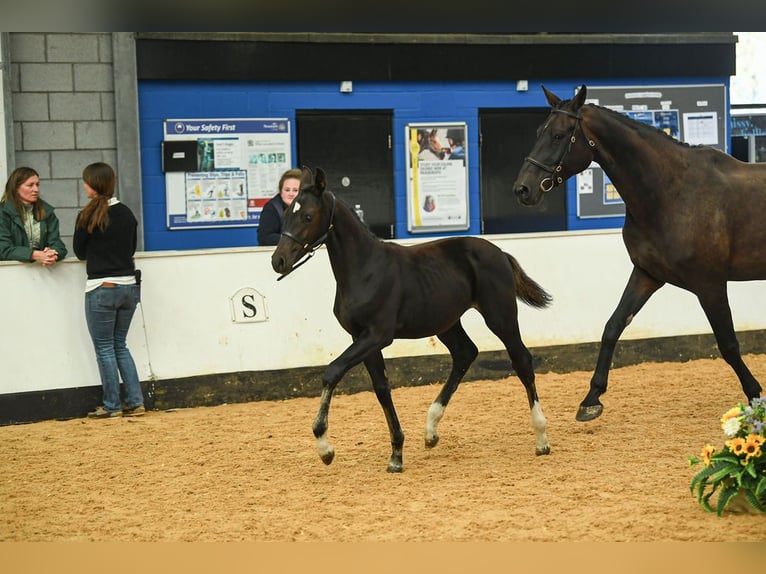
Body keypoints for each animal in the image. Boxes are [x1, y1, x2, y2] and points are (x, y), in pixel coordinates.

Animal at [272, 166, 552, 472]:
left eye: (308, 216)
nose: (278, 261)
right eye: (288, 214)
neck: (365, 269)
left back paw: (541, 439)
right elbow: (381, 388)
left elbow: (332, 371)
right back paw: (431, 431)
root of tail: (500, 253)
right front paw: (396, 454)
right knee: (465, 353)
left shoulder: (377, 335)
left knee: (521, 360)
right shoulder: (362, 338)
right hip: (446, 322)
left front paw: (325, 447)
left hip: (500, 315)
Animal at [512, 85, 766, 422]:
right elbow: (613, 326)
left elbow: (728, 344)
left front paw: (755, 395)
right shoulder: (647, 274)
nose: (522, 189)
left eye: (559, 135)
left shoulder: (710, 284)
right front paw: (591, 399)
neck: (672, 192)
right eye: (540, 131)